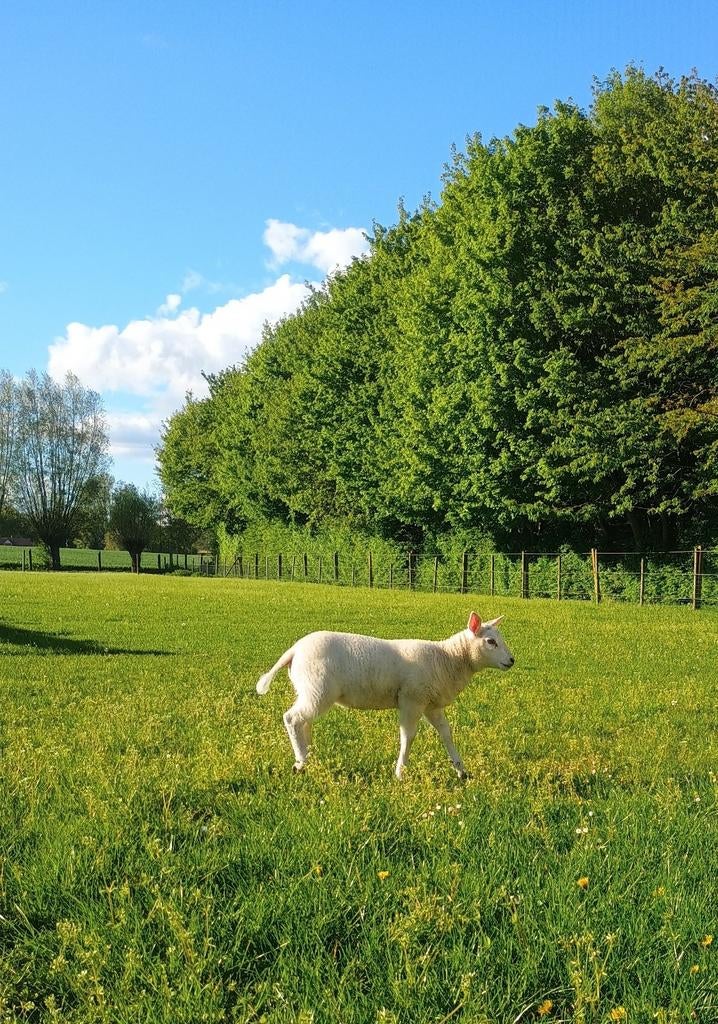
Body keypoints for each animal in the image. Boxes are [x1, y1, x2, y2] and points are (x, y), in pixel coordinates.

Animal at [256, 611, 514, 778]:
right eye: (490, 641)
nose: (512, 661)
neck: (449, 658)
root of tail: (294, 650)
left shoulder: (431, 704)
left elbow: (446, 734)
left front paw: (461, 770)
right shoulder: (411, 701)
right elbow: (408, 736)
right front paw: (400, 772)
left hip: (311, 691)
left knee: (304, 722)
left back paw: (308, 755)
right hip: (318, 689)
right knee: (292, 718)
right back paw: (300, 763)